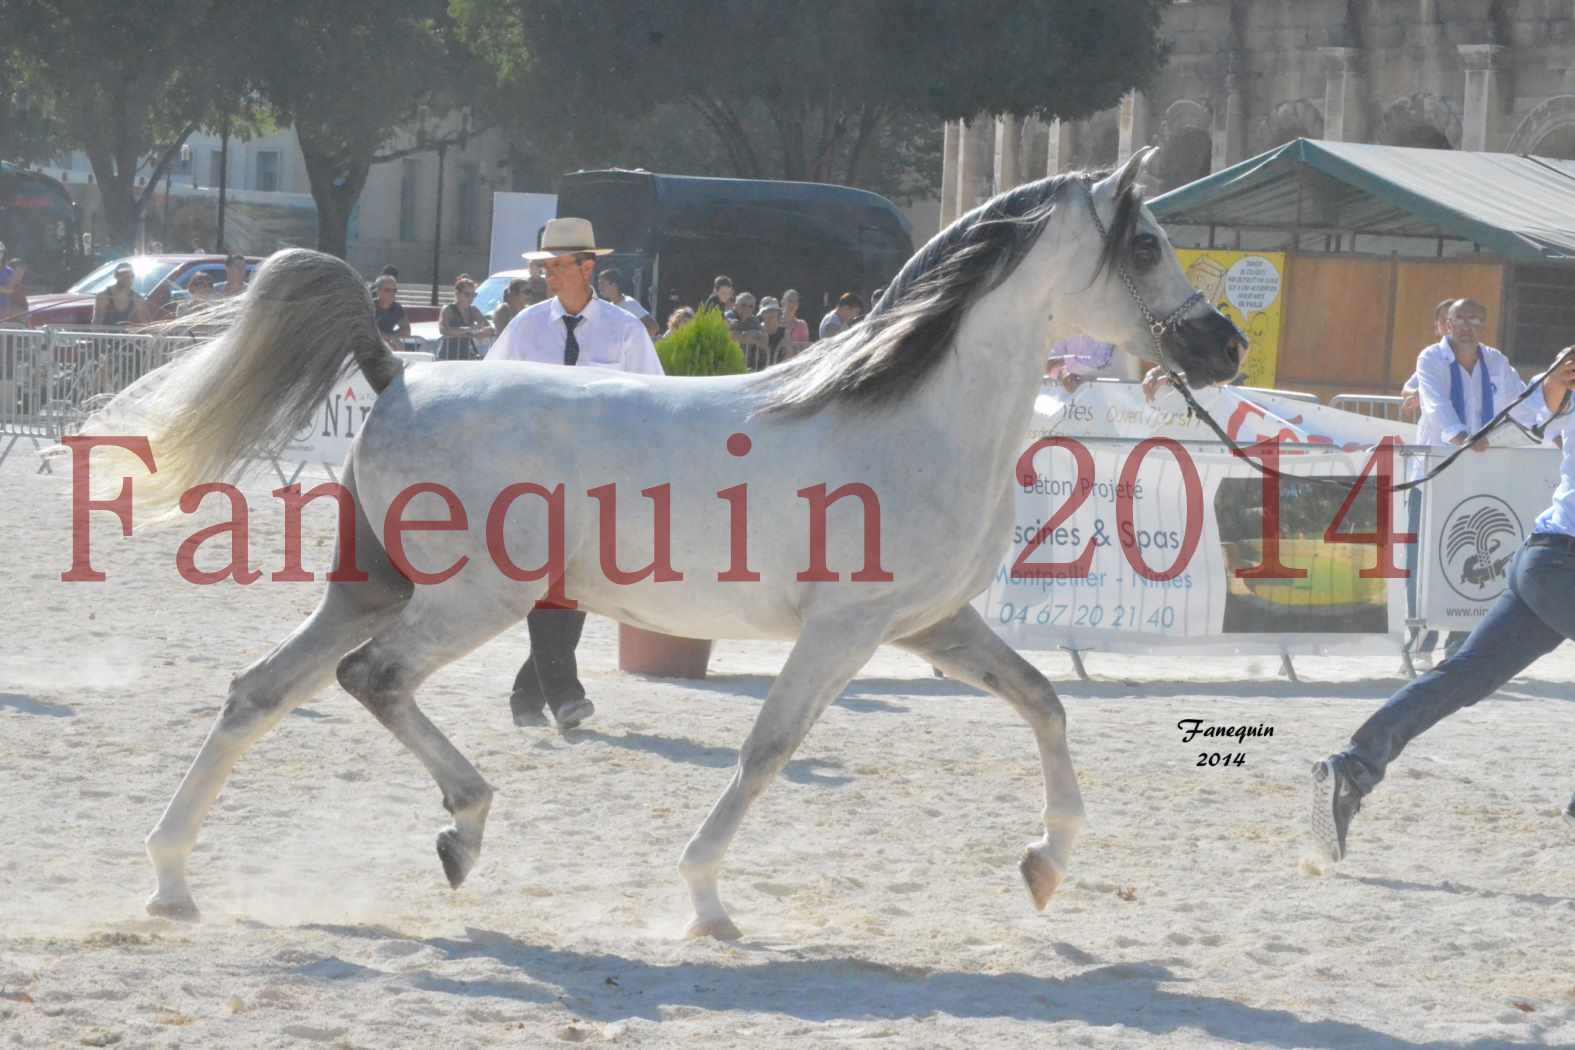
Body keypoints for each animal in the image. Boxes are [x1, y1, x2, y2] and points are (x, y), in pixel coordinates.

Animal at [114, 145, 1241, 938]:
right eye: (1147, 244)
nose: (1221, 344)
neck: (914, 412)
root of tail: (398, 373)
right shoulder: (847, 630)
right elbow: (768, 747)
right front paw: (704, 900)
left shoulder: (932, 626)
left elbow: (1044, 701)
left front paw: (1045, 867)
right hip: (471, 599)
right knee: (371, 680)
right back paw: (462, 827)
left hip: (372, 588)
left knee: (258, 693)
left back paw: (171, 880)